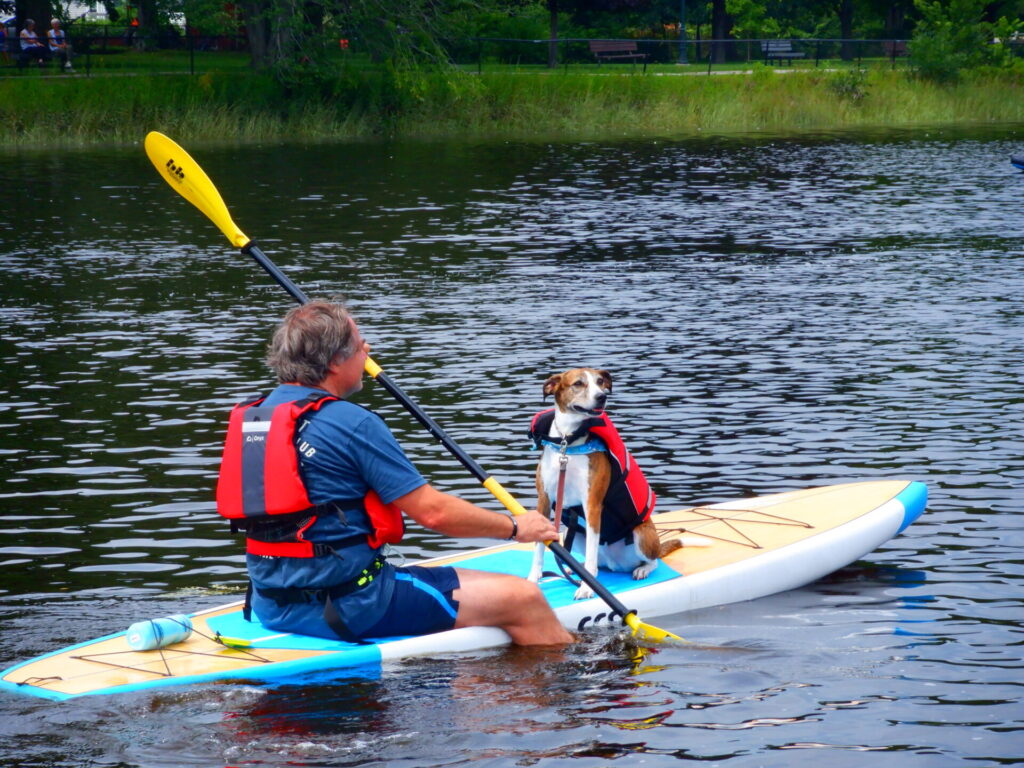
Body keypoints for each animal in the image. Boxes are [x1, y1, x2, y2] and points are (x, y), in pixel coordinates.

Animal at [528, 370, 679, 606]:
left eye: (600, 382)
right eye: (578, 383)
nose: (601, 397)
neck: (568, 444)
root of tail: (615, 564)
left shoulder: (592, 504)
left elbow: (590, 556)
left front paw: (586, 589)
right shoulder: (543, 499)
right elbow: (539, 548)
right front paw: (533, 579)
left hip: (642, 534)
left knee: (652, 561)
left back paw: (641, 570)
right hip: (571, 533)